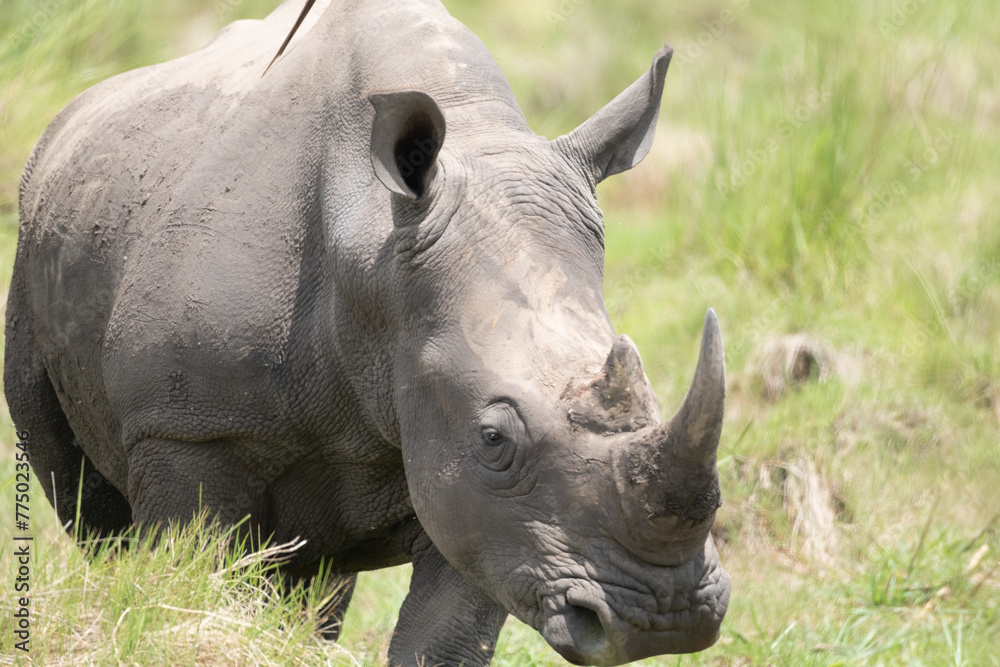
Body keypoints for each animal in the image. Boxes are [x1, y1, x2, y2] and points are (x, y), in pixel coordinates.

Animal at [4, 0, 730, 664]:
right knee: (92, 516)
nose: (664, 618)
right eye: (494, 438)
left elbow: (443, 639)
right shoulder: (185, 426)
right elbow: (196, 585)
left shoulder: (488, 513)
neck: (373, 250)